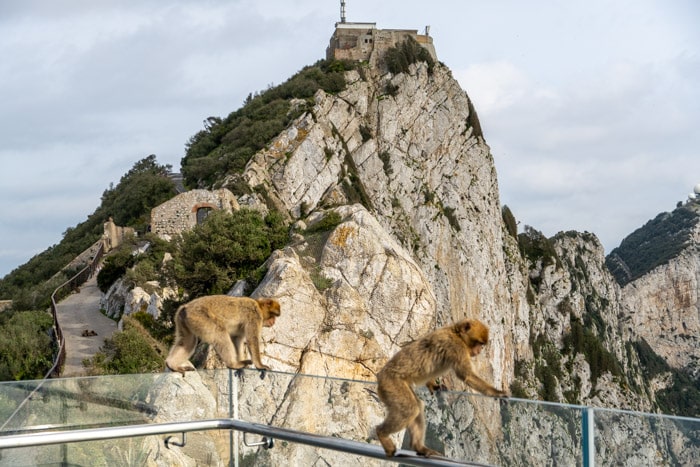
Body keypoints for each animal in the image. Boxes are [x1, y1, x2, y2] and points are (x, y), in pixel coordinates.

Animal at [375, 319, 508, 458]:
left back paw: (420, 448)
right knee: (410, 409)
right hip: (392, 384)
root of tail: (380, 376)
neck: (457, 334)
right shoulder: (457, 347)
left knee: (417, 406)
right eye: (479, 343)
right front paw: (497, 393)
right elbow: (467, 376)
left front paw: (434, 385)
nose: (480, 350)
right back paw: (381, 433)